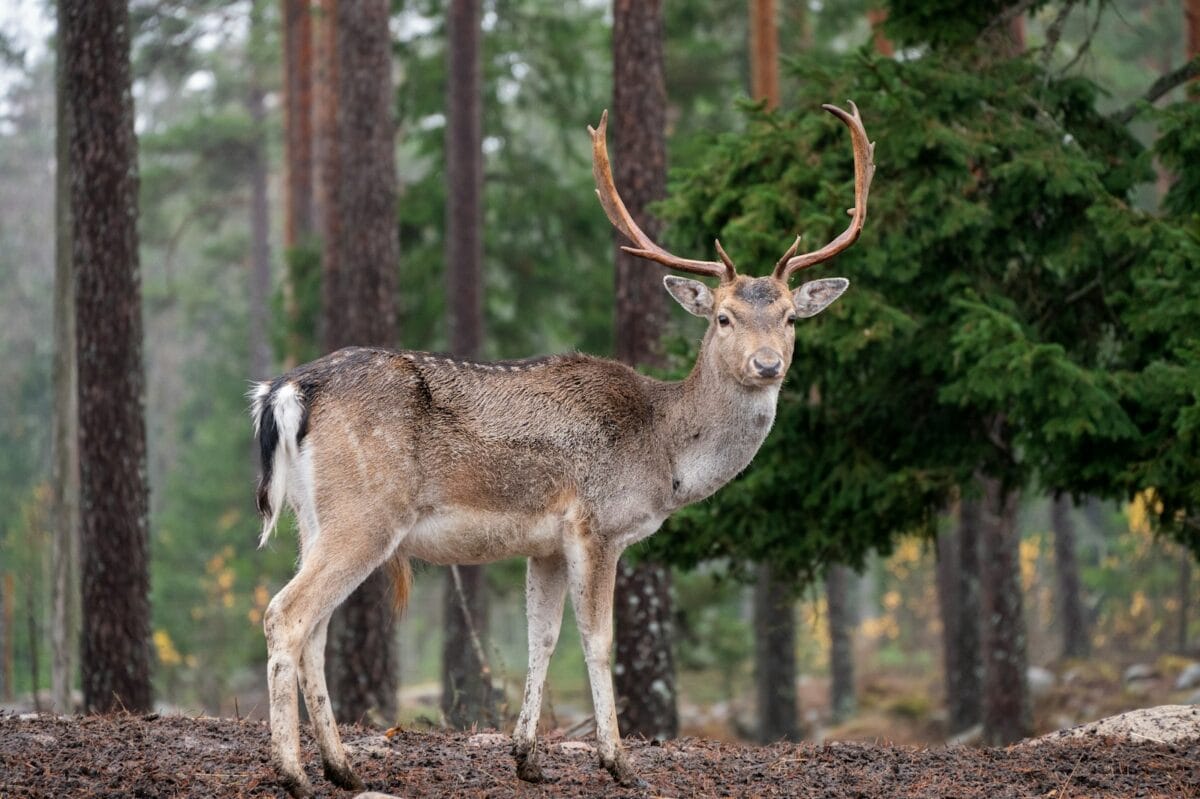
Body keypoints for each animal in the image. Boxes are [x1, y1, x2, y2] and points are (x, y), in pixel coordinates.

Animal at [250, 102, 873, 797]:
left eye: (791, 317)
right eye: (723, 318)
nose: (767, 365)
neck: (662, 452)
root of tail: (285, 390)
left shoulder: (545, 543)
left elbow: (540, 637)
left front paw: (528, 756)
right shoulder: (595, 524)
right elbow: (598, 641)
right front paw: (619, 762)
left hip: (313, 519)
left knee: (315, 629)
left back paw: (343, 767)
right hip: (365, 514)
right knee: (285, 615)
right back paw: (294, 773)